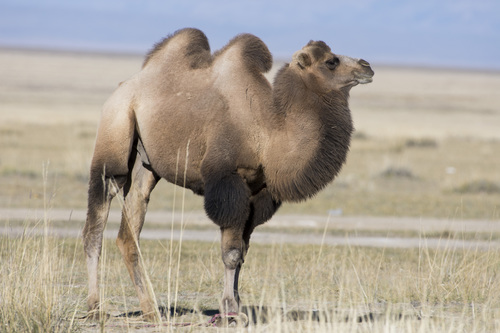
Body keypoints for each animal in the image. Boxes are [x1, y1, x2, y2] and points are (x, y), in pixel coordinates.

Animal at [82, 27, 374, 322]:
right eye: (331, 61)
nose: (367, 66)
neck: (268, 132)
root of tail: (124, 87)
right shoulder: (228, 182)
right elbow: (232, 253)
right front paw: (230, 309)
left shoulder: (257, 193)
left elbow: (242, 252)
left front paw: (236, 306)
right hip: (116, 127)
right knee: (99, 216)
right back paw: (95, 307)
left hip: (148, 165)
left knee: (132, 223)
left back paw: (151, 309)